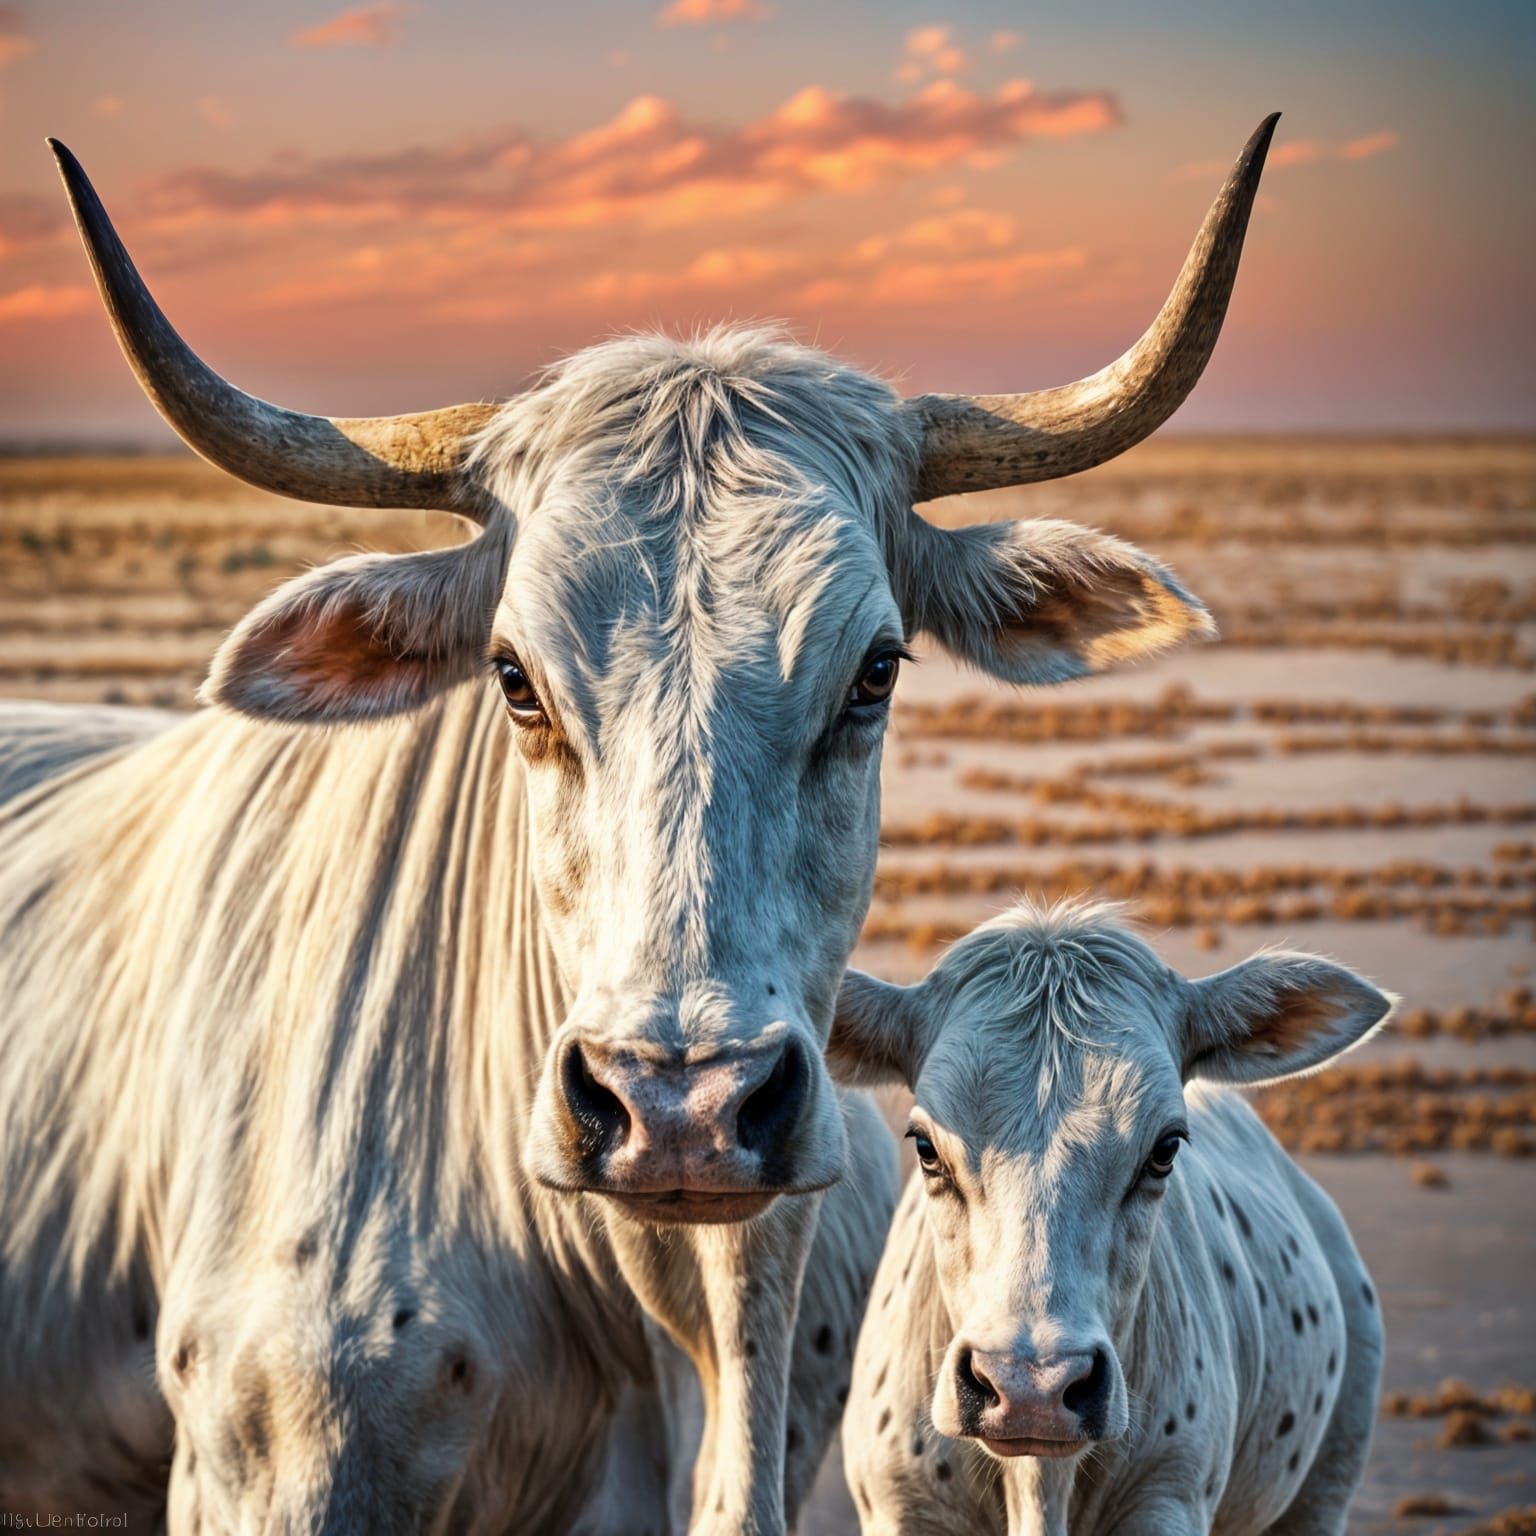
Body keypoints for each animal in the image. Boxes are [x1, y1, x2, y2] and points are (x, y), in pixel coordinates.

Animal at [831, 901, 1390, 1535]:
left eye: (1165, 1149)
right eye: (925, 1147)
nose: (1032, 1390)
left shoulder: (1168, 1497)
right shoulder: (903, 1504)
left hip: (1325, 1484)